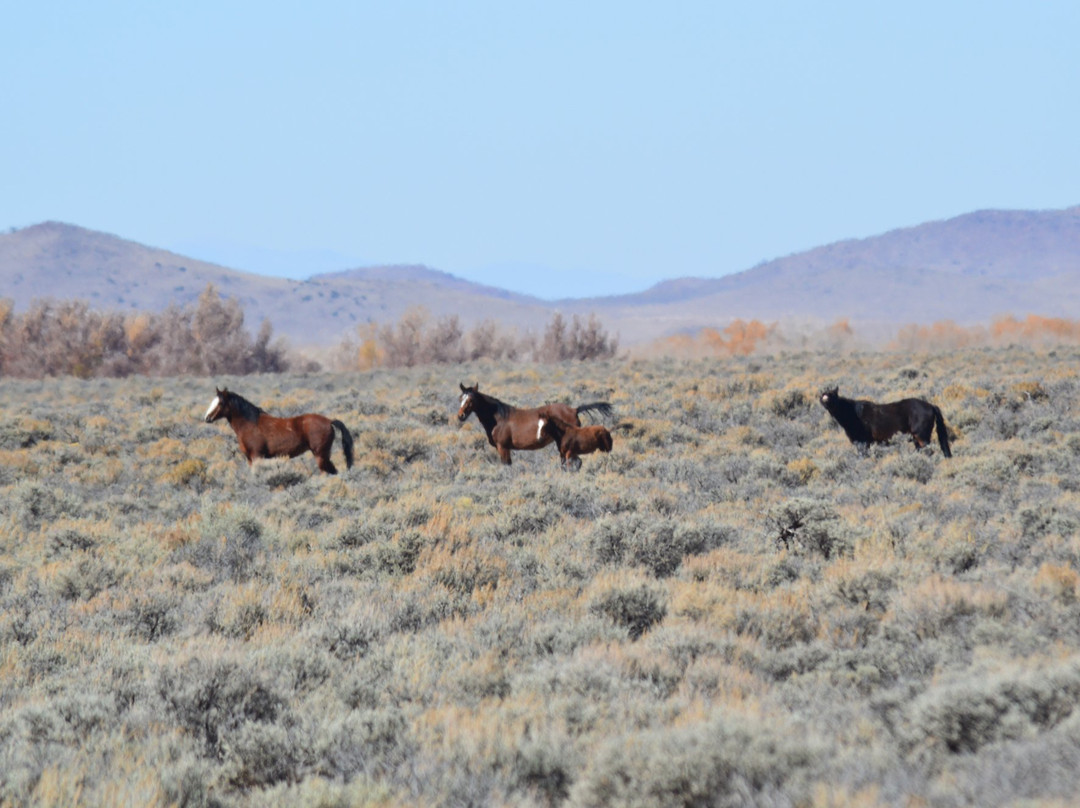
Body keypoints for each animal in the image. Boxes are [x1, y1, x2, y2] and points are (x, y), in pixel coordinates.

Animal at [203, 386, 354, 473]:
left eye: (221, 403)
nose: (207, 418)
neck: (250, 424)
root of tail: (329, 421)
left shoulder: (257, 456)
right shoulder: (250, 458)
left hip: (320, 455)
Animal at [453, 384, 613, 466]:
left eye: (471, 400)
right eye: (460, 398)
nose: (461, 416)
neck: (499, 418)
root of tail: (574, 409)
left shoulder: (503, 448)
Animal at [816, 386, 954, 458]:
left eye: (833, 394)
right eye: (822, 395)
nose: (826, 400)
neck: (852, 413)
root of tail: (931, 406)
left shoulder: (863, 442)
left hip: (922, 436)